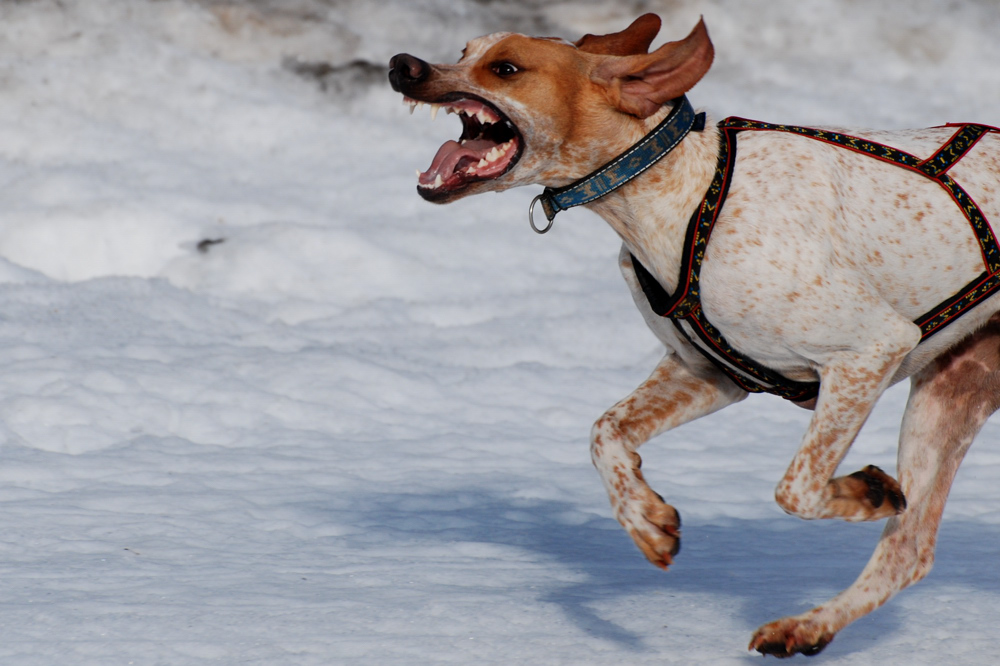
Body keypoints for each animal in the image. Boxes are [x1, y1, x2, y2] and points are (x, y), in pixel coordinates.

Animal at [388, 13, 1000, 656]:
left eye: (505, 68)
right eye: (464, 50)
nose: (403, 65)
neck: (683, 193)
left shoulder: (869, 350)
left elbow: (796, 488)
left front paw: (865, 491)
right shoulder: (706, 372)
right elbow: (604, 433)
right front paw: (645, 520)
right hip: (951, 396)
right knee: (908, 551)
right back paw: (808, 625)